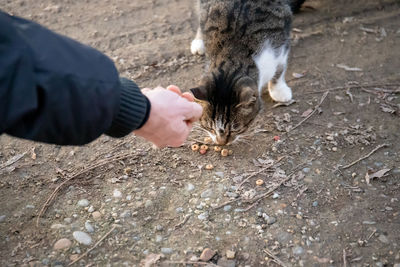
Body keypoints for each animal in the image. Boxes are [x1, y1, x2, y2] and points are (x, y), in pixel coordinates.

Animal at [189, 0, 304, 147]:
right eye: (209, 127)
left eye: (235, 128)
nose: (221, 143)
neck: (233, 52)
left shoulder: (280, 43)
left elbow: (279, 68)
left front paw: (279, 91)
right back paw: (199, 42)